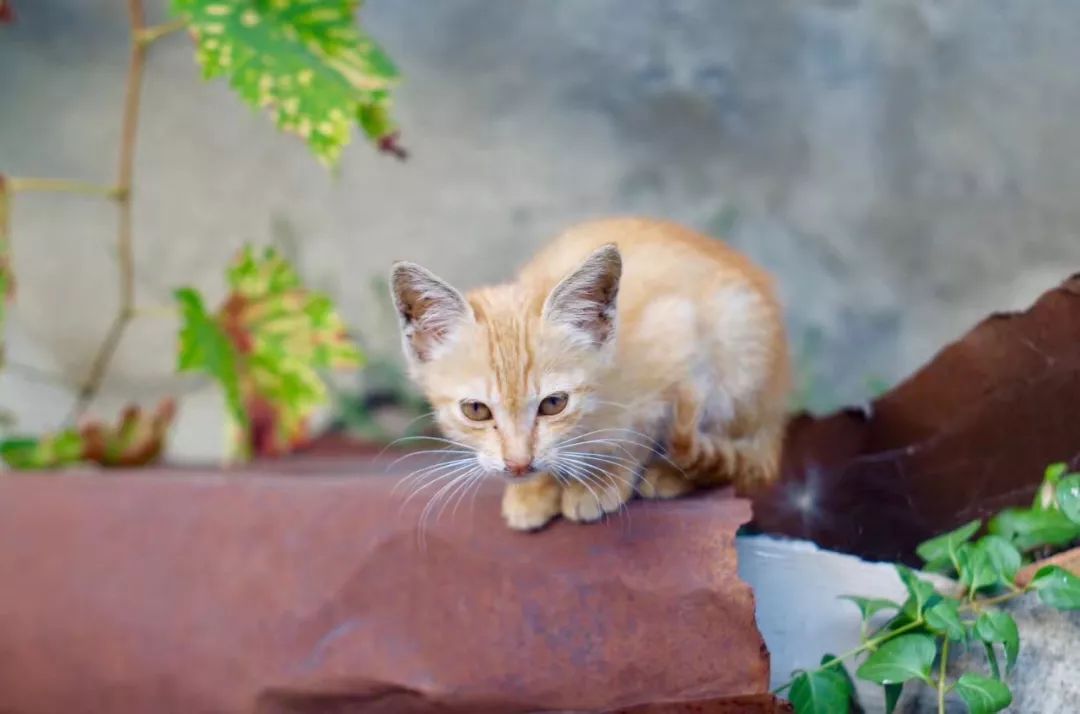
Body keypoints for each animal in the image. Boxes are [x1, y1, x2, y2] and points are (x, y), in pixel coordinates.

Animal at [393, 217, 790, 529]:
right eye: (475, 410)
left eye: (554, 403)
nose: (519, 465)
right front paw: (535, 490)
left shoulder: (678, 335)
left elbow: (640, 432)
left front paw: (599, 482)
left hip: (737, 341)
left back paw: (670, 475)